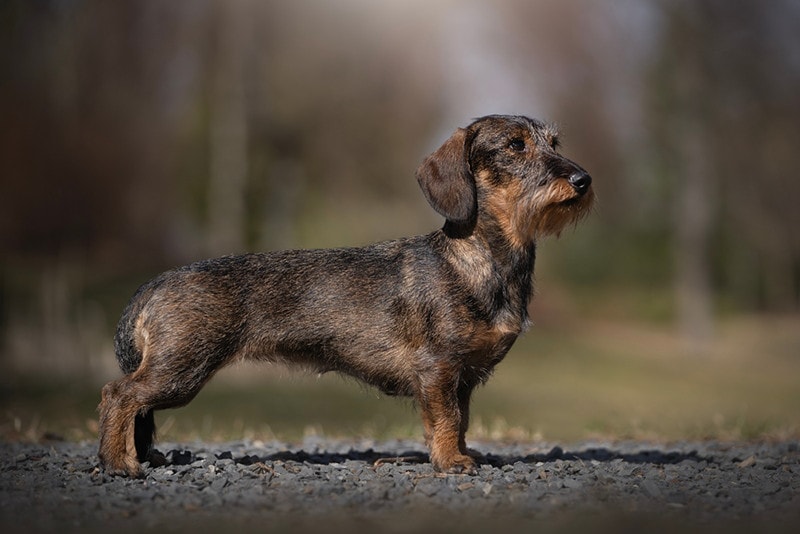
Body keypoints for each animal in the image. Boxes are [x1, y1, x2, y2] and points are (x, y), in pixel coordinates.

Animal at [97, 115, 592, 480]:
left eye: (554, 142)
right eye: (514, 145)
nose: (583, 179)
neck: (480, 259)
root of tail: (155, 284)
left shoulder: (463, 377)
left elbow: (461, 419)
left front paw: (460, 453)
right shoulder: (438, 368)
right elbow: (448, 419)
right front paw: (451, 461)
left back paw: (140, 456)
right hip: (182, 369)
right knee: (118, 394)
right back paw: (119, 463)